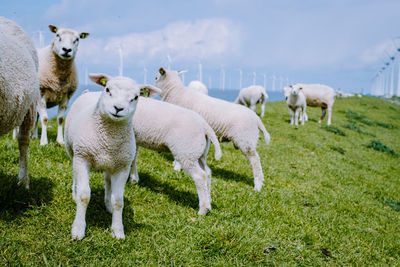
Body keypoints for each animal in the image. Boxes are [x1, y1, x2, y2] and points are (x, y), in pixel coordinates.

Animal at [63, 74, 159, 242]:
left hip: (111, 163)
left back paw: (107, 203)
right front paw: (78, 229)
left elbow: (118, 201)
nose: (118, 108)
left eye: (135, 97)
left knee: (108, 181)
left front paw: (118, 230)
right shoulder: (82, 157)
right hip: (73, 151)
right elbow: (84, 196)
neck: (108, 140)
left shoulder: (122, 167)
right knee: (75, 175)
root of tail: (90, 92)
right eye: (108, 89)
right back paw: (74, 193)